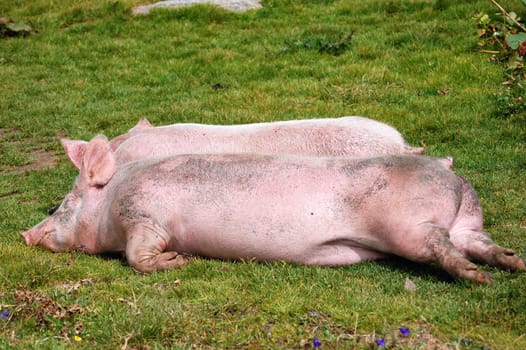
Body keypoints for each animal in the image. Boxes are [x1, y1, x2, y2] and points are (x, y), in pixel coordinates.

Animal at [20, 135, 524, 284]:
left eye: (64, 205)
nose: (24, 234)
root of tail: (449, 175)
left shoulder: (144, 218)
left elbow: (137, 256)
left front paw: (179, 260)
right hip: (467, 218)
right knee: (476, 240)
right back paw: (513, 262)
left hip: (409, 226)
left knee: (440, 245)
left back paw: (482, 278)